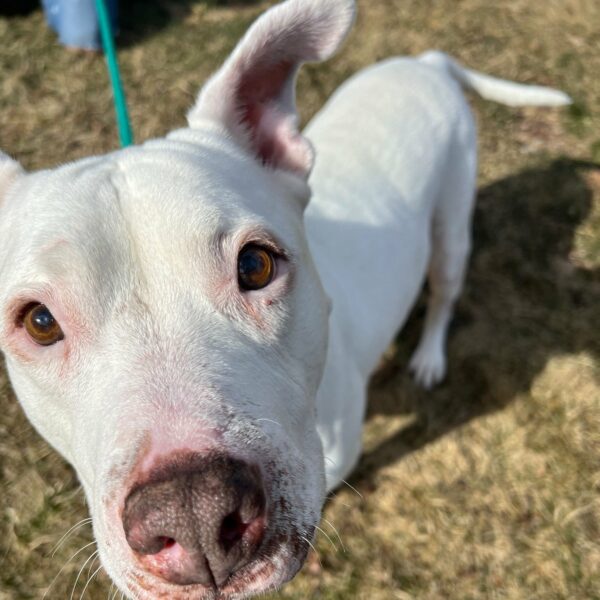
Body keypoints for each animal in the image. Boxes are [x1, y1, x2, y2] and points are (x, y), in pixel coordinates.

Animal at [0, 1, 568, 600]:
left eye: (256, 265)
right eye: (39, 321)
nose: (192, 511)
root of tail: (428, 62)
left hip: (452, 225)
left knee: (443, 293)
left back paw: (429, 357)